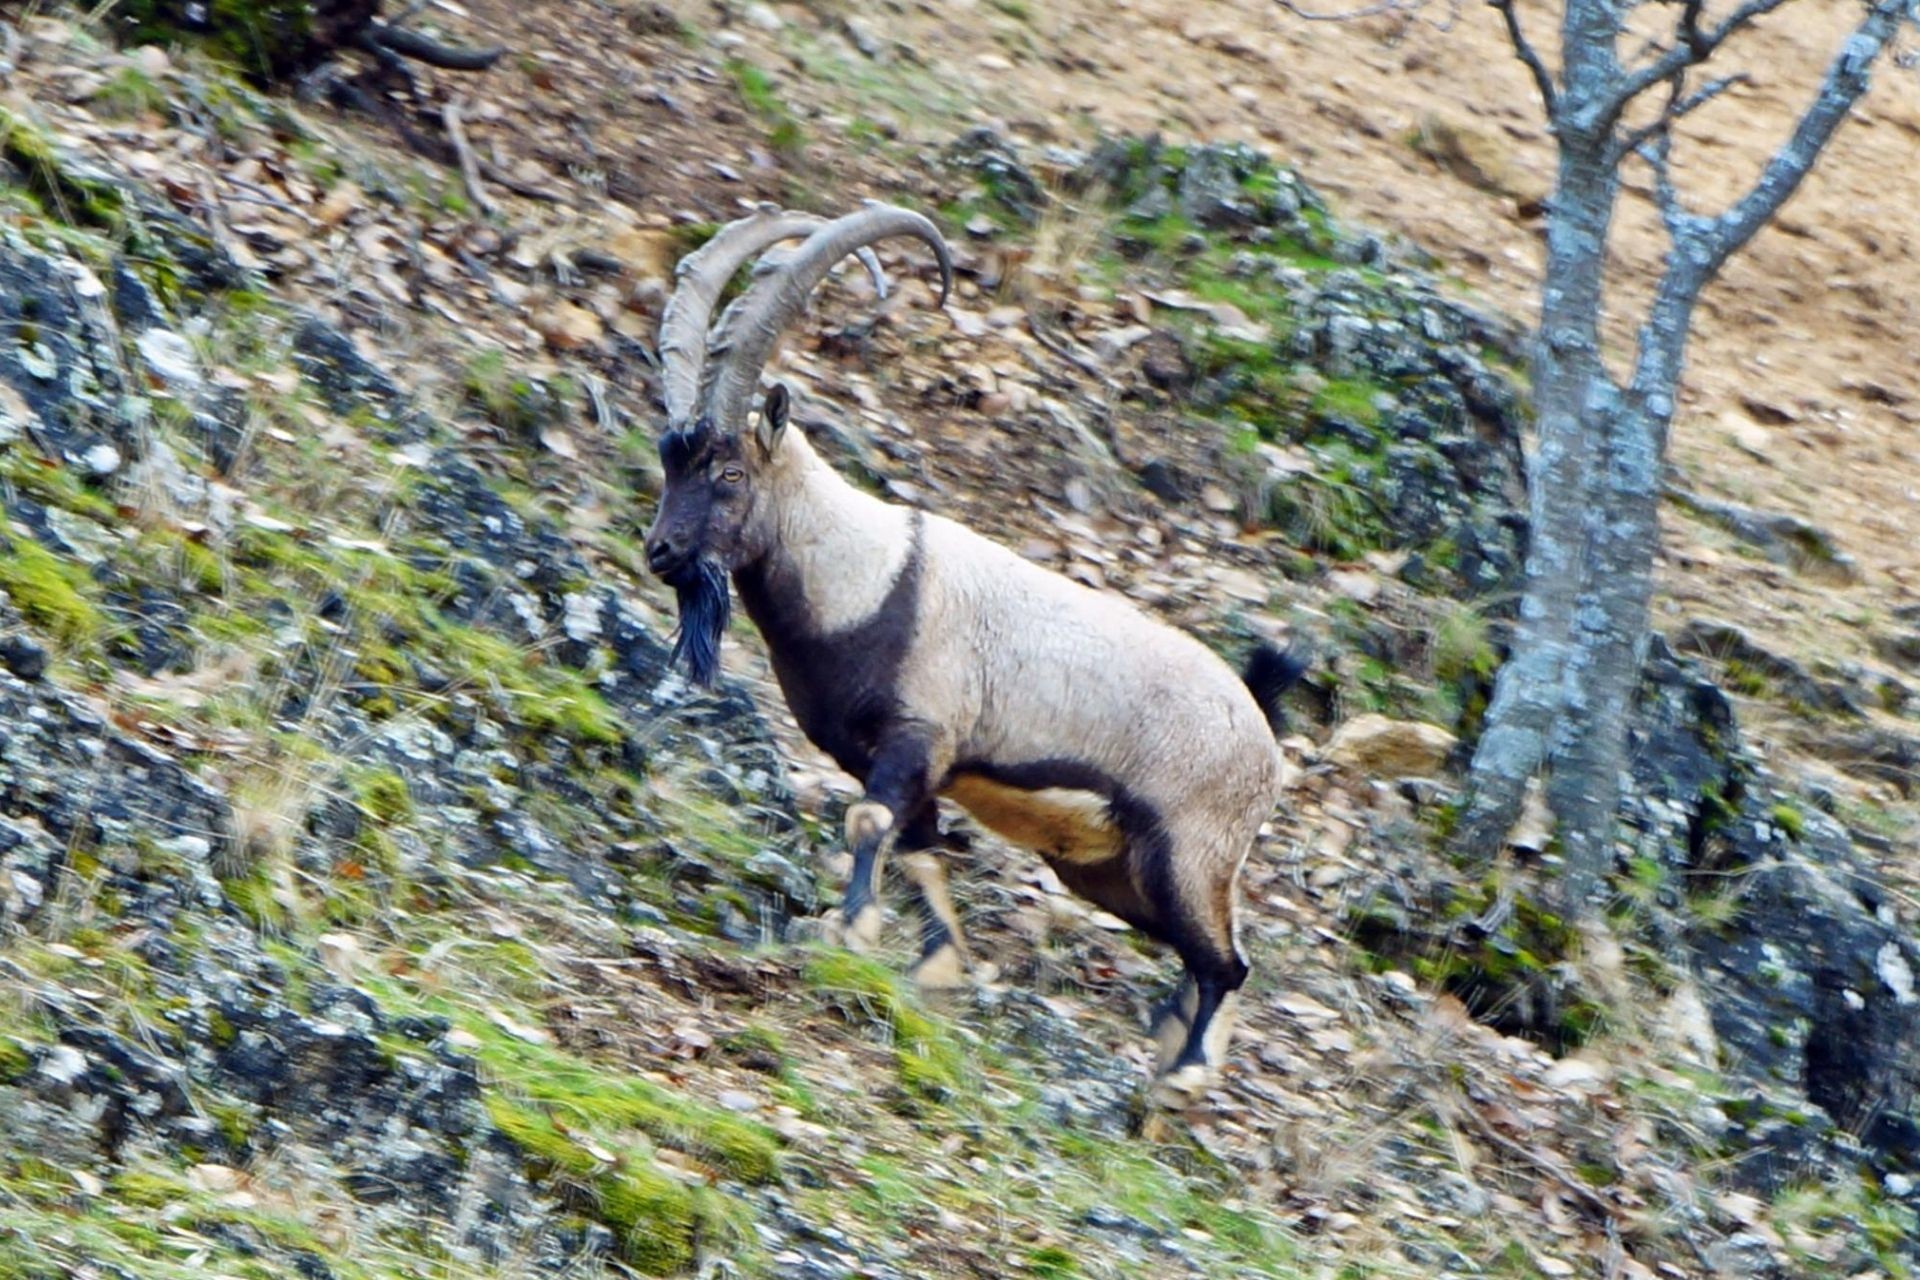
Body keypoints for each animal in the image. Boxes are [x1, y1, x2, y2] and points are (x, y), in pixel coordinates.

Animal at [645, 200, 1305, 1105]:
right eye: (670, 460)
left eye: (731, 472)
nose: (662, 553)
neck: (868, 576)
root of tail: (1263, 731)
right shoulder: (885, 760)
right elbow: (919, 853)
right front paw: (936, 966)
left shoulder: (917, 739)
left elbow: (869, 821)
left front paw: (846, 928)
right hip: (1113, 871)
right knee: (1203, 958)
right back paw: (1169, 1050)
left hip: (1189, 851)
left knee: (1227, 963)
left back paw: (1186, 1076)